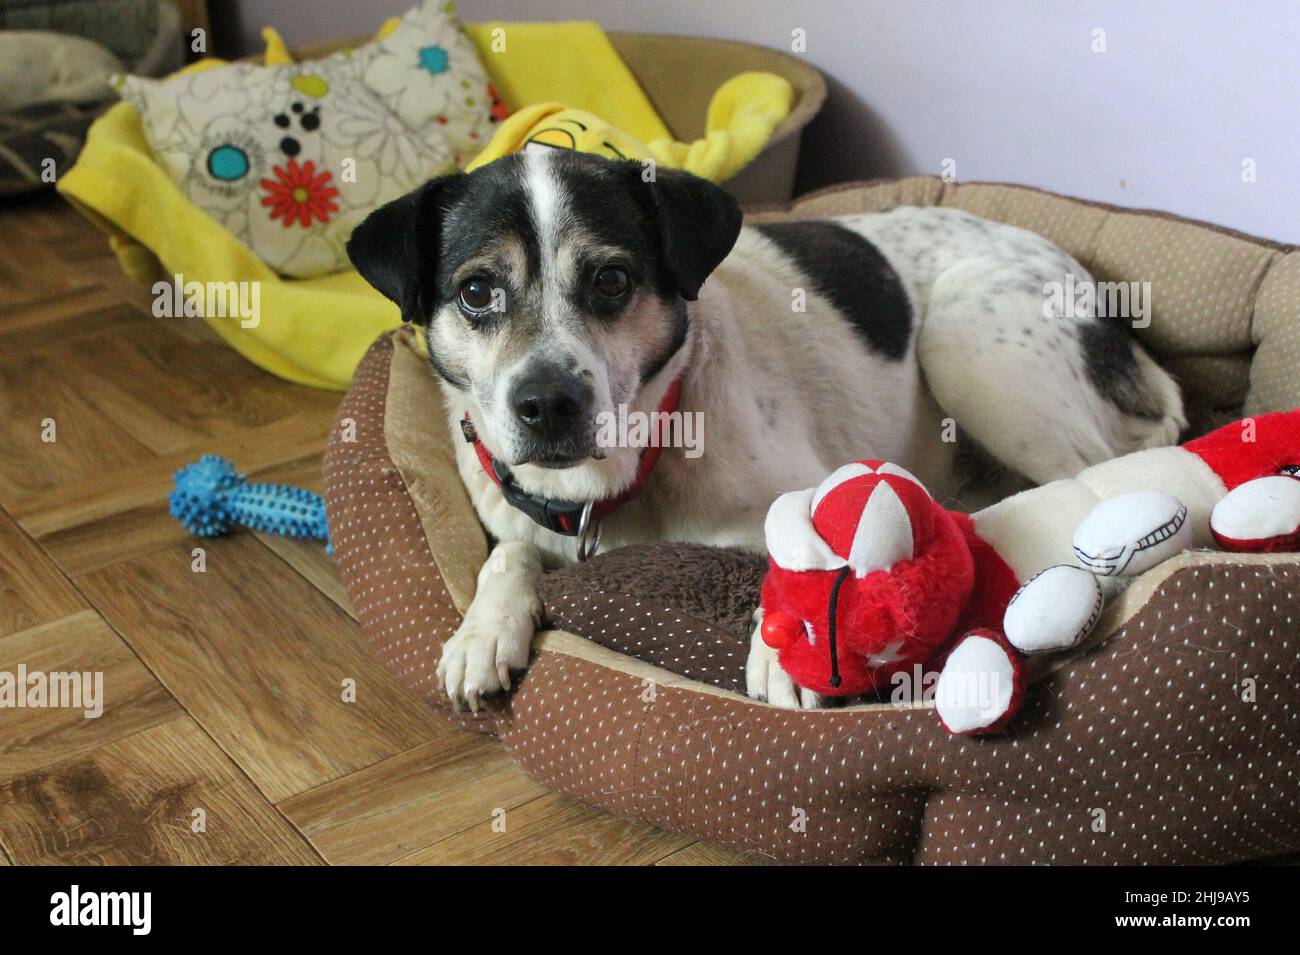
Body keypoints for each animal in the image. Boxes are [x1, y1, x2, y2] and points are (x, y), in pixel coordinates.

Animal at [348, 149, 1190, 712]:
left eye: (612, 279)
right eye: (476, 291)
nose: (548, 403)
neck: (624, 483)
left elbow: (794, 547)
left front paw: (790, 649)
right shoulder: (515, 509)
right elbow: (511, 551)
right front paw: (483, 628)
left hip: (969, 339)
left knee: (1093, 473)